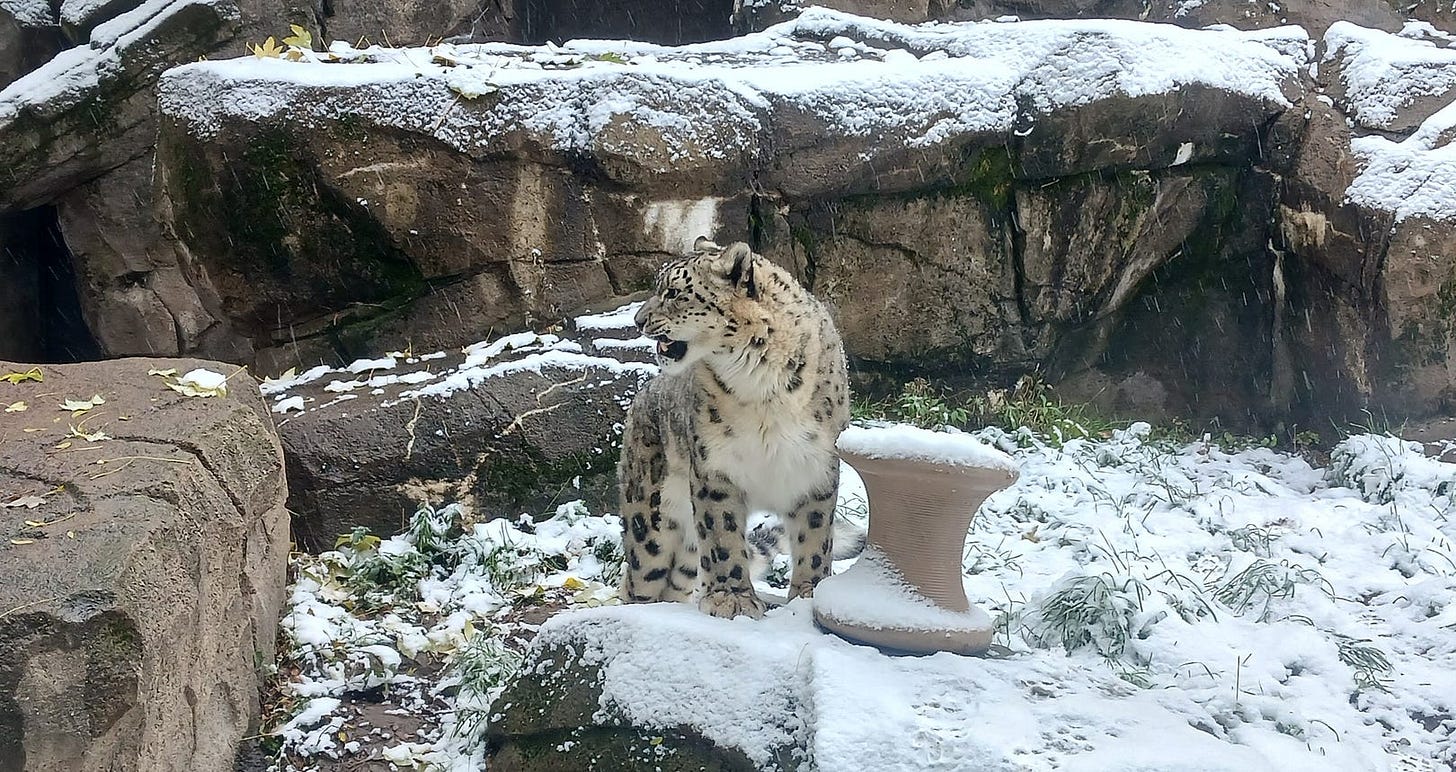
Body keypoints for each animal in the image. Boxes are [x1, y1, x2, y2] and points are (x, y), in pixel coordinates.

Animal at [617, 238, 851, 619]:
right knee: (641, 576)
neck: (762, 386)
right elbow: (722, 537)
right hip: (650, 523)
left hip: (683, 554)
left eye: (674, 292)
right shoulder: (715, 469)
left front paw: (808, 594)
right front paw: (733, 598)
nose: (638, 321)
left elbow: (815, 536)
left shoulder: (816, 468)